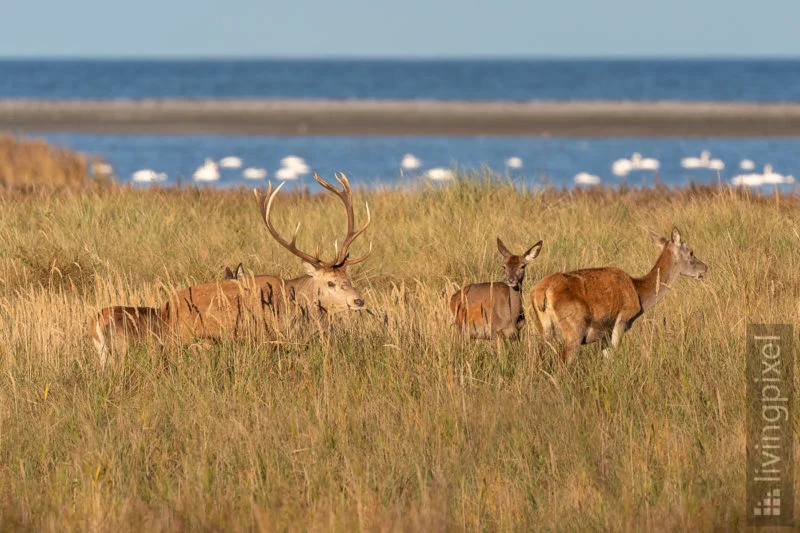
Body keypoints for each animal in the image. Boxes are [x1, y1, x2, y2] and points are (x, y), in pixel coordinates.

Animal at [530, 226, 707, 363]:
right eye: (691, 252)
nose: (705, 267)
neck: (639, 294)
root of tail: (541, 292)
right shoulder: (622, 320)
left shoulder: (604, 334)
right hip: (574, 330)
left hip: (544, 330)